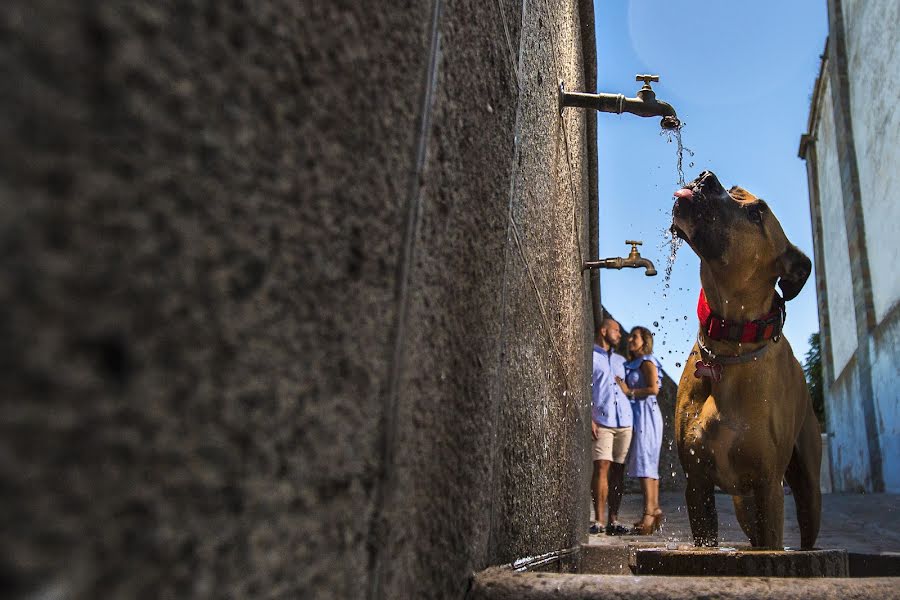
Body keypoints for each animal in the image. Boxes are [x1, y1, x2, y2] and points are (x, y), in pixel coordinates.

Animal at [668, 171, 824, 552]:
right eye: (733, 190)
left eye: (756, 214)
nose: (706, 176)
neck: (730, 345)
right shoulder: (697, 484)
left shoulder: (769, 486)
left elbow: (773, 541)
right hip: (743, 504)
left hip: (807, 490)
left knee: (806, 533)